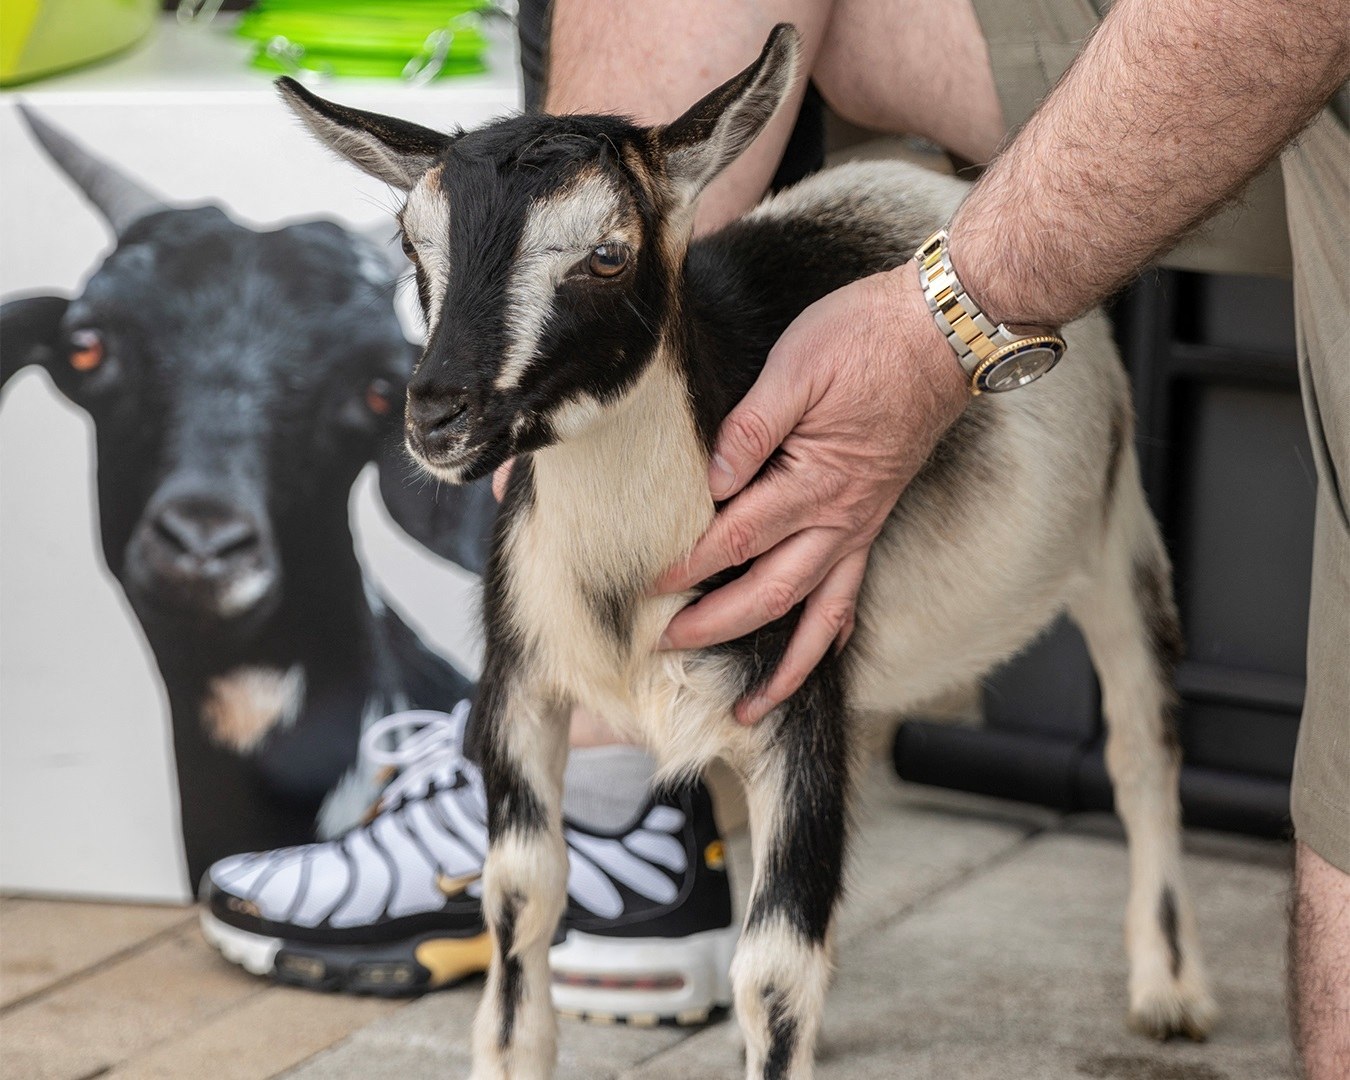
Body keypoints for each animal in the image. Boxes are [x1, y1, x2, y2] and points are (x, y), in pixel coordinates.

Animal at [280, 24, 1215, 1079]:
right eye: (413, 243)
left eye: (607, 254)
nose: (439, 415)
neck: (627, 591)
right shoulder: (522, 688)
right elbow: (521, 898)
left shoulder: (794, 693)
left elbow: (771, 968)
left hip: (1118, 534)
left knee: (1144, 751)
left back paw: (1170, 989)